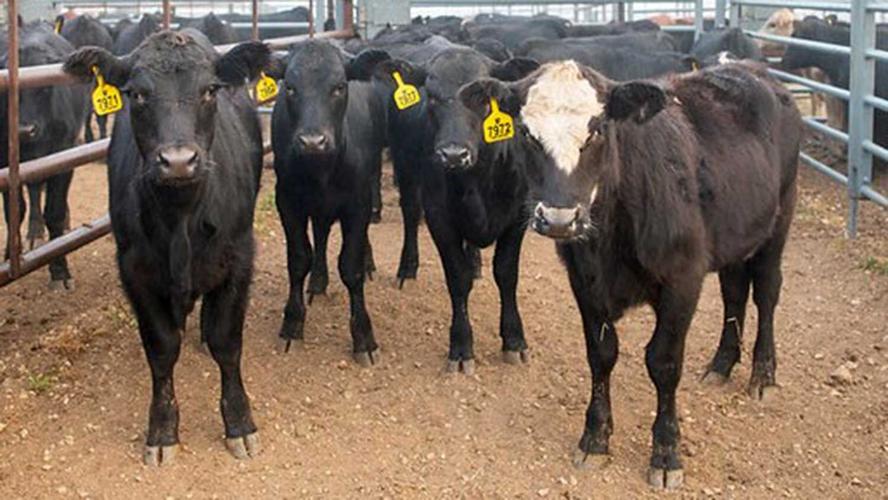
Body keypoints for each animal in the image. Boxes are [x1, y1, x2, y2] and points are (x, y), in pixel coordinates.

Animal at [1, 23, 88, 289]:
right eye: (10, 92)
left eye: (45, 88)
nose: (24, 130)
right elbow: (14, 210)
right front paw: (10, 256)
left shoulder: (63, 157)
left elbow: (55, 212)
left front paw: (59, 269)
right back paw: (35, 232)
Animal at [63, 30, 269, 465]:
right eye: (137, 94)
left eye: (209, 90)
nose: (177, 161)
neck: (181, 219)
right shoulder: (134, 269)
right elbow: (161, 349)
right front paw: (161, 431)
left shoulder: (240, 258)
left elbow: (227, 343)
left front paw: (240, 424)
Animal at [266, 40, 389, 365]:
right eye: (290, 88)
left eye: (339, 87)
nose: (312, 141)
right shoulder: (287, 201)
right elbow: (299, 259)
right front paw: (292, 324)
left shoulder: (357, 203)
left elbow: (350, 266)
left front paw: (364, 337)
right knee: (320, 236)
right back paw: (318, 281)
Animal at [371, 48, 539, 373]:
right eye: (432, 96)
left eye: (483, 98)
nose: (452, 154)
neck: (478, 180)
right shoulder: (440, 217)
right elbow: (457, 279)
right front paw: (461, 347)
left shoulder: (517, 216)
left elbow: (506, 273)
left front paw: (514, 341)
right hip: (405, 168)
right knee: (411, 214)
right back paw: (407, 268)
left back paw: (475, 263)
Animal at [459, 60, 801, 488]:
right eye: (526, 133)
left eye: (597, 130)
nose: (559, 219)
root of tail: (753, 70)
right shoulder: (584, 281)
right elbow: (601, 355)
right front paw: (594, 439)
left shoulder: (683, 279)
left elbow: (663, 363)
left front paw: (666, 454)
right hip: (735, 236)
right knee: (734, 291)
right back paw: (721, 364)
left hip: (779, 222)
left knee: (767, 292)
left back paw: (763, 376)